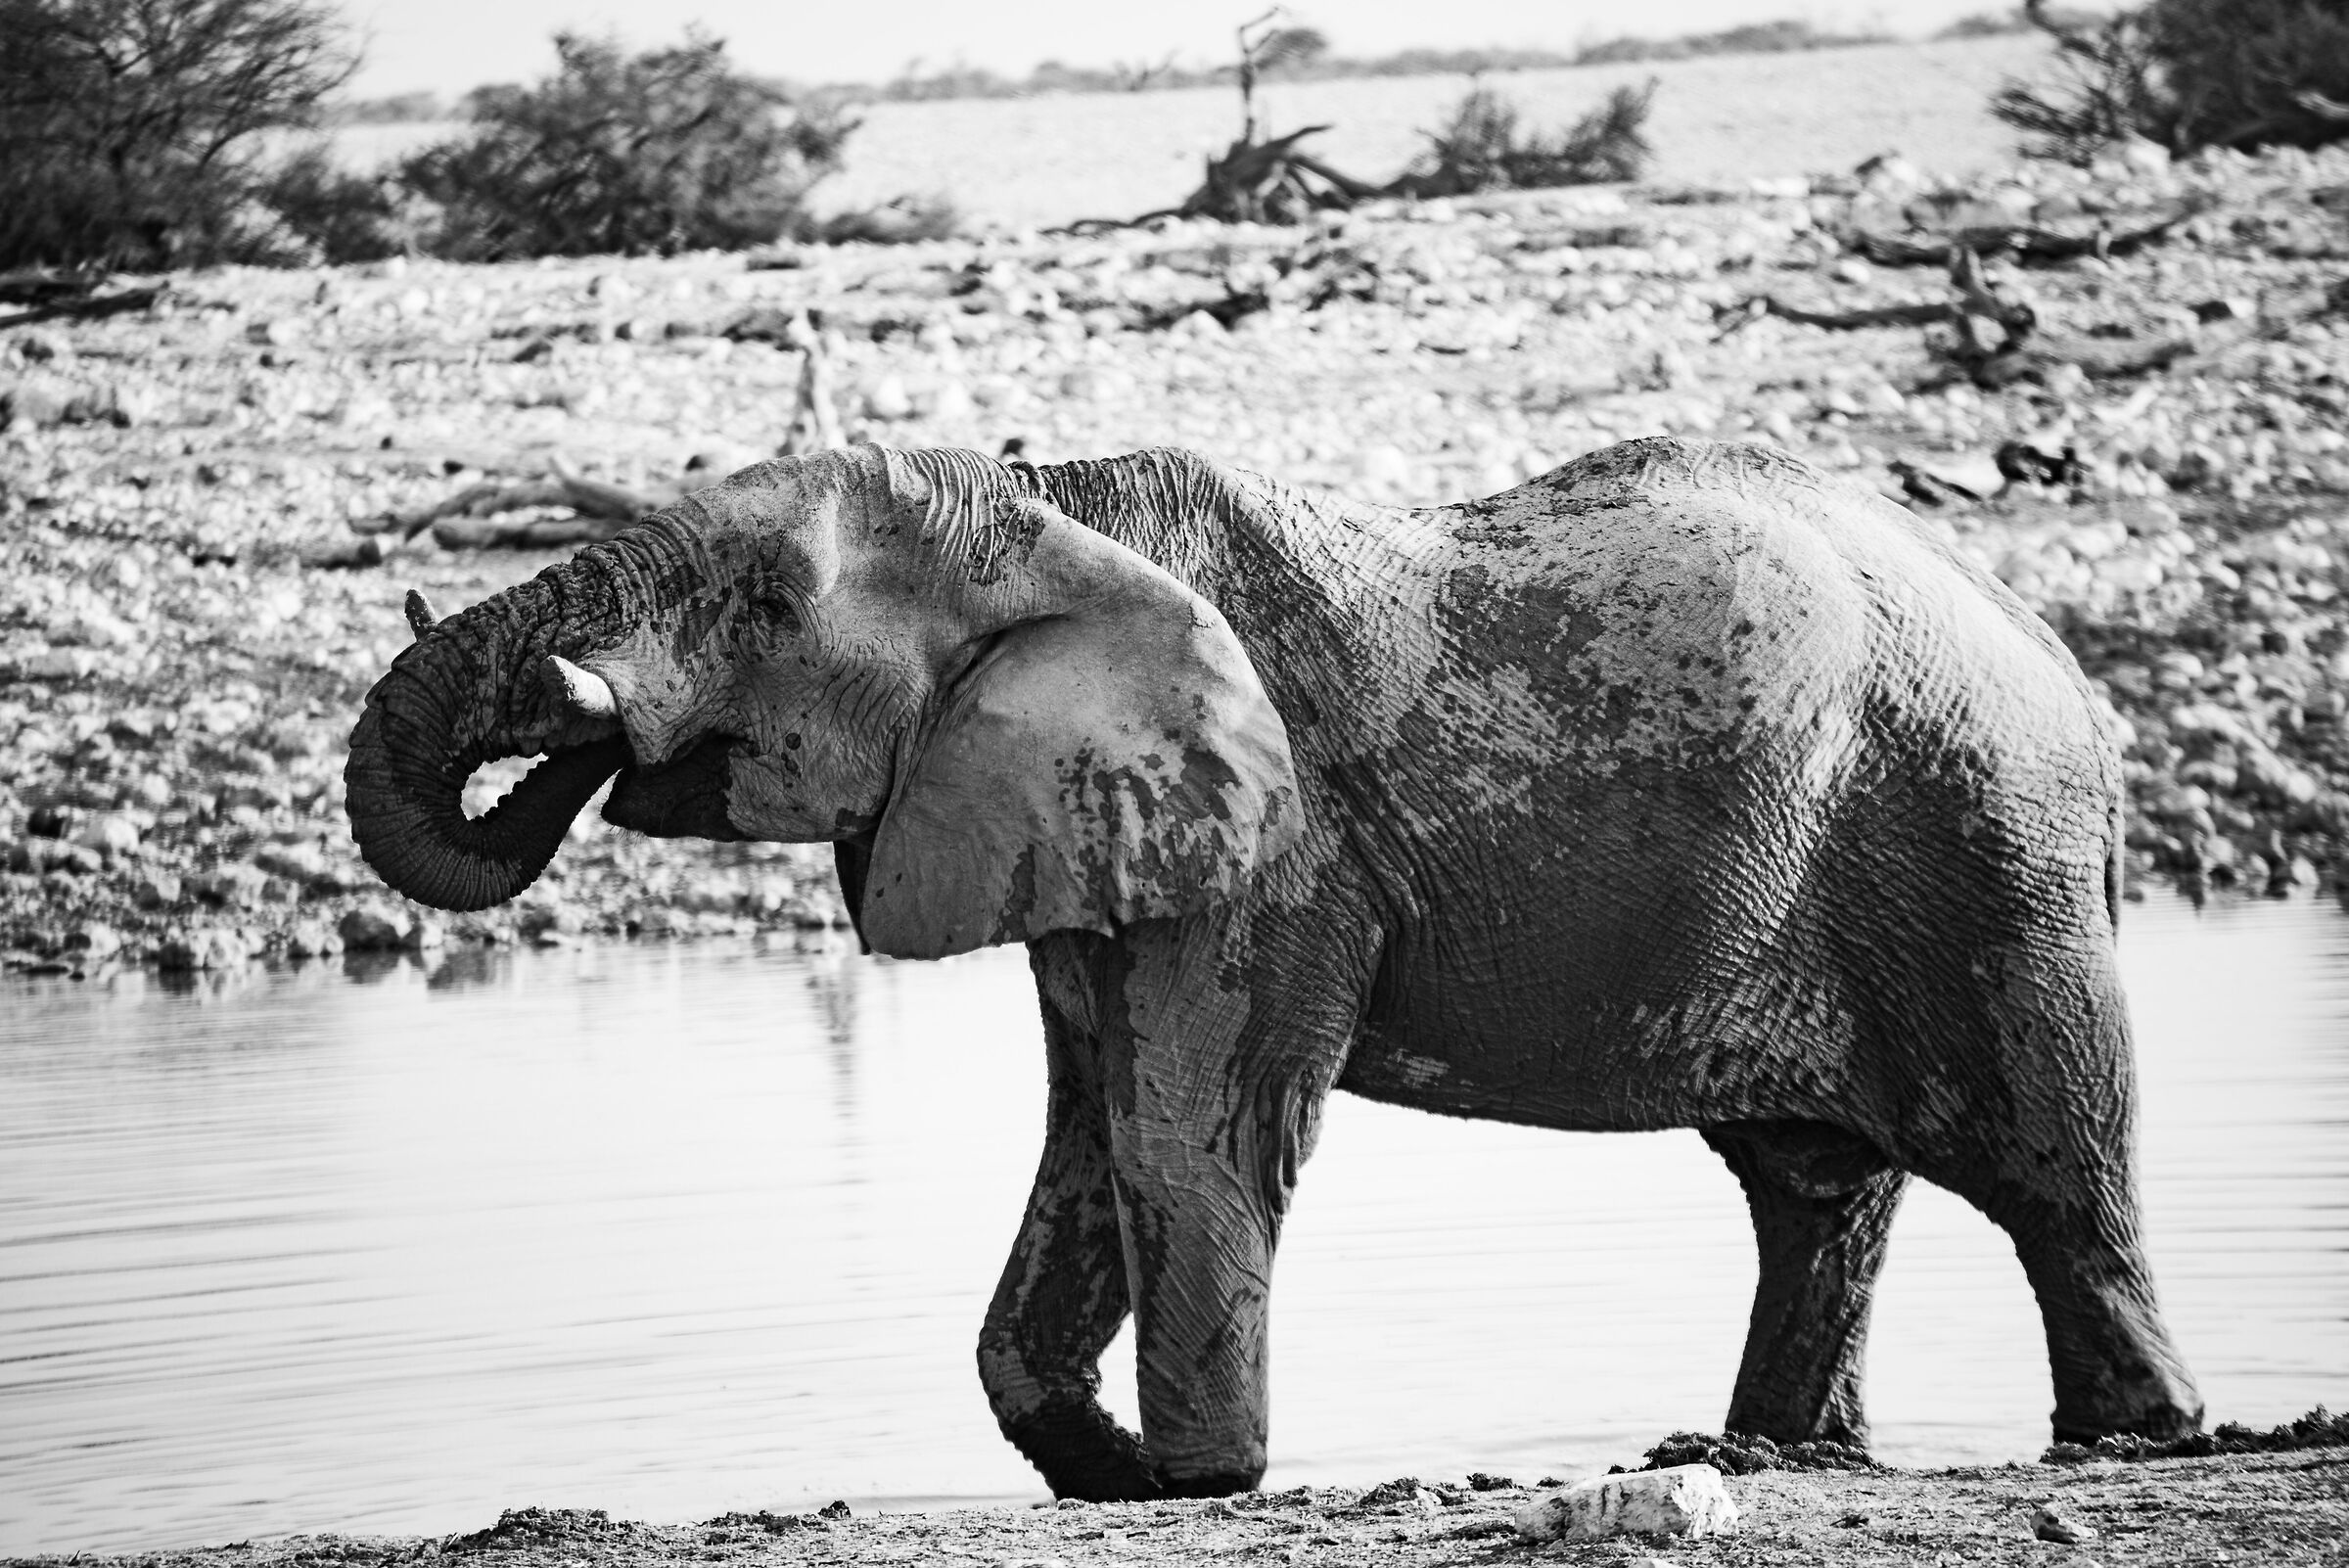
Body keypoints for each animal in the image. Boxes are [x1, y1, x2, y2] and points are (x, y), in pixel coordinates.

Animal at [345, 436, 2203, 1499]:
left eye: (766, 605)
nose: (585, 728)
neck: (1053, 519)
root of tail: (2056, 652)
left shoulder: (1279, 842)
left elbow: (1180, 1129)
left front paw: (1205, 1479)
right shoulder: (1076, 813)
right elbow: (1091, 1138)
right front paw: (1103, 1470)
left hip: (1981, 839)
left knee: (2050, 1166)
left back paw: (2137, 1438)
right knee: (1815, 1185)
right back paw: (1757, 1452)